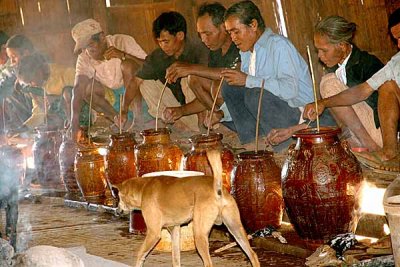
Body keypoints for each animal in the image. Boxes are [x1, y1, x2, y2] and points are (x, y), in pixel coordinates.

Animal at [114, 151, 260, 267]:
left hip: (199, 233)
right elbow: (176, 259)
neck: (143, 189)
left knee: (209, 263)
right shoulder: (174, 230)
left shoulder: (153, 233)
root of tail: (217, 187)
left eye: (119, 197)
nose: (116, 211)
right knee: (253, 255)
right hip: (236, 229)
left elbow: (140, 254)